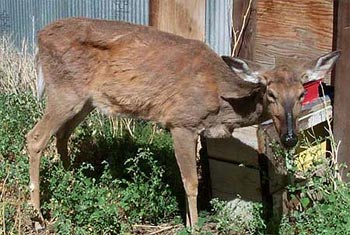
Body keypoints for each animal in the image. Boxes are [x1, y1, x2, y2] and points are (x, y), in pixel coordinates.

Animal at [26, 17, 340, 229]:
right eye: (270, 93)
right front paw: (195, 226)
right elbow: (191, 182)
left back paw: (71, 183)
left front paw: (190, 222)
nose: (289, 138)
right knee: (35, 138)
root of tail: (39, 37)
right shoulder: (181, 122)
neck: (221, 101)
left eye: (301, 94)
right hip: (64, 91)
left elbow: (186, 178)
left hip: (86, 101)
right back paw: (39, 217)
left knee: (62, 136)